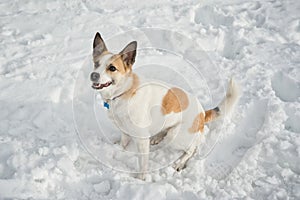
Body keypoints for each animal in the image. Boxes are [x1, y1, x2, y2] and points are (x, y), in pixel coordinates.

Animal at [90, 31, 240, 180]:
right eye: (96, 64)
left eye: (112, 68)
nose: (93, 75)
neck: (124, 92)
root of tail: (203, 114)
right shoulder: (124, 130)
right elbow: (123, 143)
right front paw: (120, 150)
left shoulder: (142, 139)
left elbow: (143, 164)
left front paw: (140, 180)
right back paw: (157, 137)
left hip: (175, 136)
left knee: (192, 149)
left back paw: (180, 163)